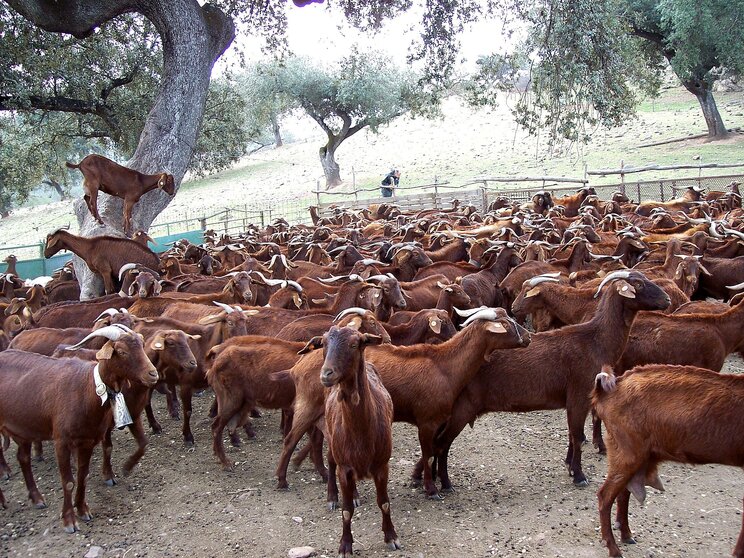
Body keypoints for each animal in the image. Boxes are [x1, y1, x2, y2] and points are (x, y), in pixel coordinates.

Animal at [596, 368, 744, 558]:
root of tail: (607, 391)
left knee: (623, 492)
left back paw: (626, 535)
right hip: (627, 453)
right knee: (605, 496)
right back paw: (613, 549)